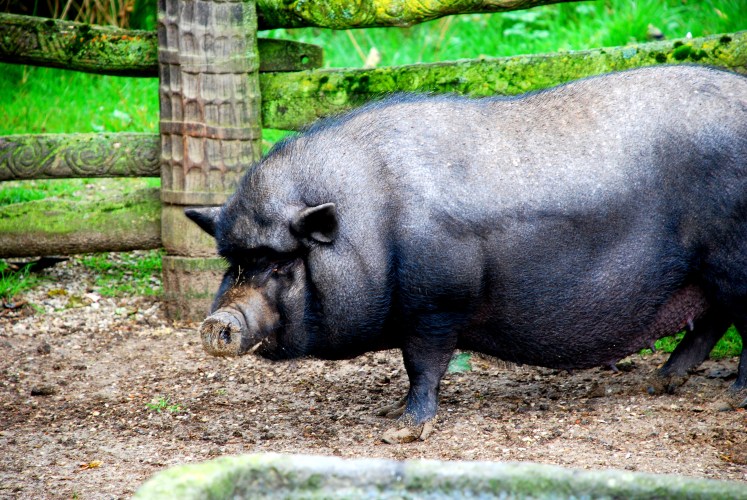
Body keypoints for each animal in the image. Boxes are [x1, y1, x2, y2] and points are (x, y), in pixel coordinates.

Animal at [186, 65, 747, 443]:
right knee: (710, 320)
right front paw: (391, 418)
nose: (219, 322)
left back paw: (731, 399)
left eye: (282, 264)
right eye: (235, 263)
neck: (371, 227)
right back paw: (660, 384)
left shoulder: (436, 304)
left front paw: (401, 431)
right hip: (705, 272)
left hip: (732, 260)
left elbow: (423, 365)